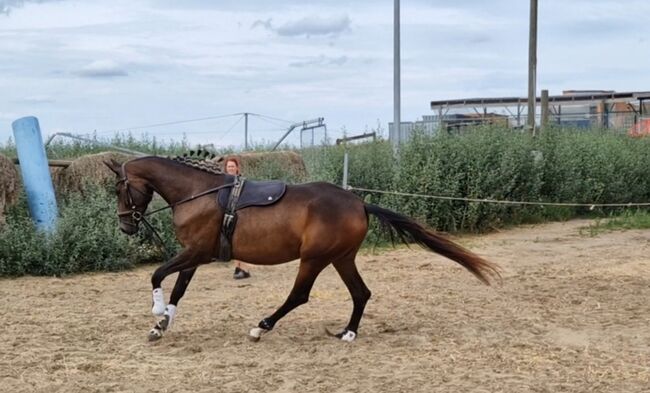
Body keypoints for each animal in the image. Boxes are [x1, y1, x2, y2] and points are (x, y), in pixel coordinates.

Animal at [104, 155, 498, 342]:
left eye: (119, 189)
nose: (126, 225)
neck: (196, 192)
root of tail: (359, 203)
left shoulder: (197, 252)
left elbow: (158, 275)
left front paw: (156, 312)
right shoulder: (195, 255)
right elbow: (179, 289)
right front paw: (161, 325)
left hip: (314, 258)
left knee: (299, 296)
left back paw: (261, 327)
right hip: (340, 258)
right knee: (361, 293)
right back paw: (348, 333)